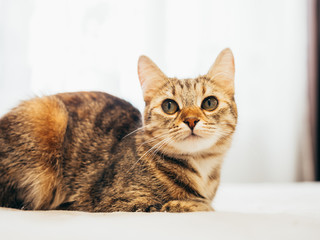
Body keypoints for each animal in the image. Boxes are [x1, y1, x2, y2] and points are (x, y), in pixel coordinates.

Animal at [0, 48, 235, 212]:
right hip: (48, 114)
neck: (201, 167)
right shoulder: (107, 201)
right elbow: (183, 204)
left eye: (210, 103)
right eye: (169, 106)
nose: (191, 120)